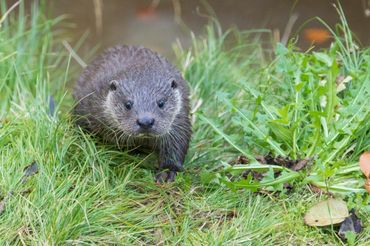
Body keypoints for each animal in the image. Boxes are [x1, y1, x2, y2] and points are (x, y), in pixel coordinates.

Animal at [73, 44, 192, 183]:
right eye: (128, 104)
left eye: (161, 102)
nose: (145, 121)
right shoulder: (86, 105)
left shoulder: (180, 120)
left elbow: (177, 144)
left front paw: (167, 171)